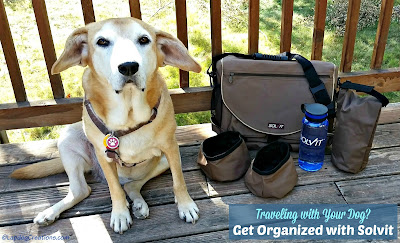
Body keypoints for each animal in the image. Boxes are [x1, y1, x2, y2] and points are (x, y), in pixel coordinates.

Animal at [10, 17, 202, 234]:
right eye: (102, 42)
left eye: (144, 39)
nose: (128, 66)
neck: (129, 115)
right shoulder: (104, 155)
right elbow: (114, 190)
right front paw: (119, 214)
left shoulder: (171, 148)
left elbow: (179, 181)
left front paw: (186, 206)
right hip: (68, 137)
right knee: (84, 190)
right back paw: (49, 213)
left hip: (161, 161)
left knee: (130, 186)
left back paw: (138, 204)